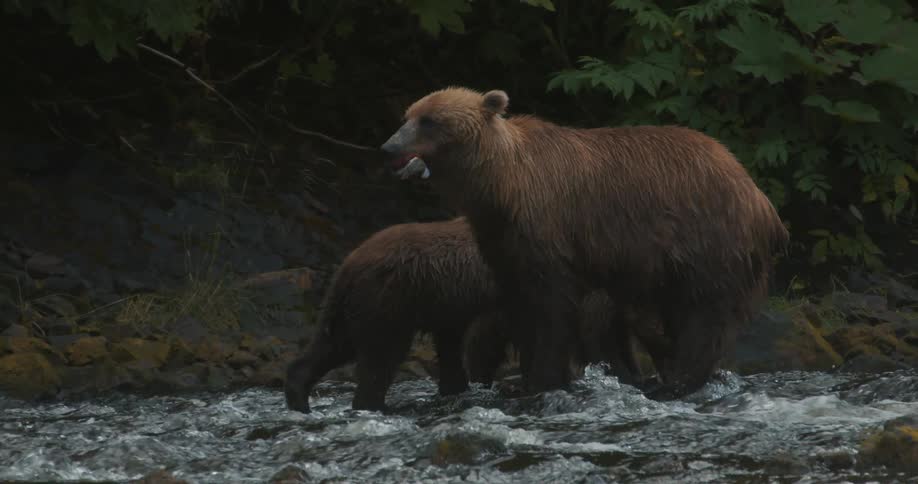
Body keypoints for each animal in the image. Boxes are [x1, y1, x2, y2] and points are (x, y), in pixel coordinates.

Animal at [284, 216, 655, 413]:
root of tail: (349, 261)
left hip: (361, 305)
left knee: (332, 345)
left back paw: (299, 395)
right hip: (389, 302)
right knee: (380, 357)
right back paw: (373, 403)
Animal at [380, 86, 789, 400]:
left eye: (429, 120)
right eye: (408, 115)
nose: (388, 146)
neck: (500, 185)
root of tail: (760, 198)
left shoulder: (551, 230)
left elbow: (551, 307)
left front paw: (542, 379)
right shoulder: (503, 241)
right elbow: (520, 304)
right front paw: (526, 378)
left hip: (706, 238)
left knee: (703, 313)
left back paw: (678, 381)